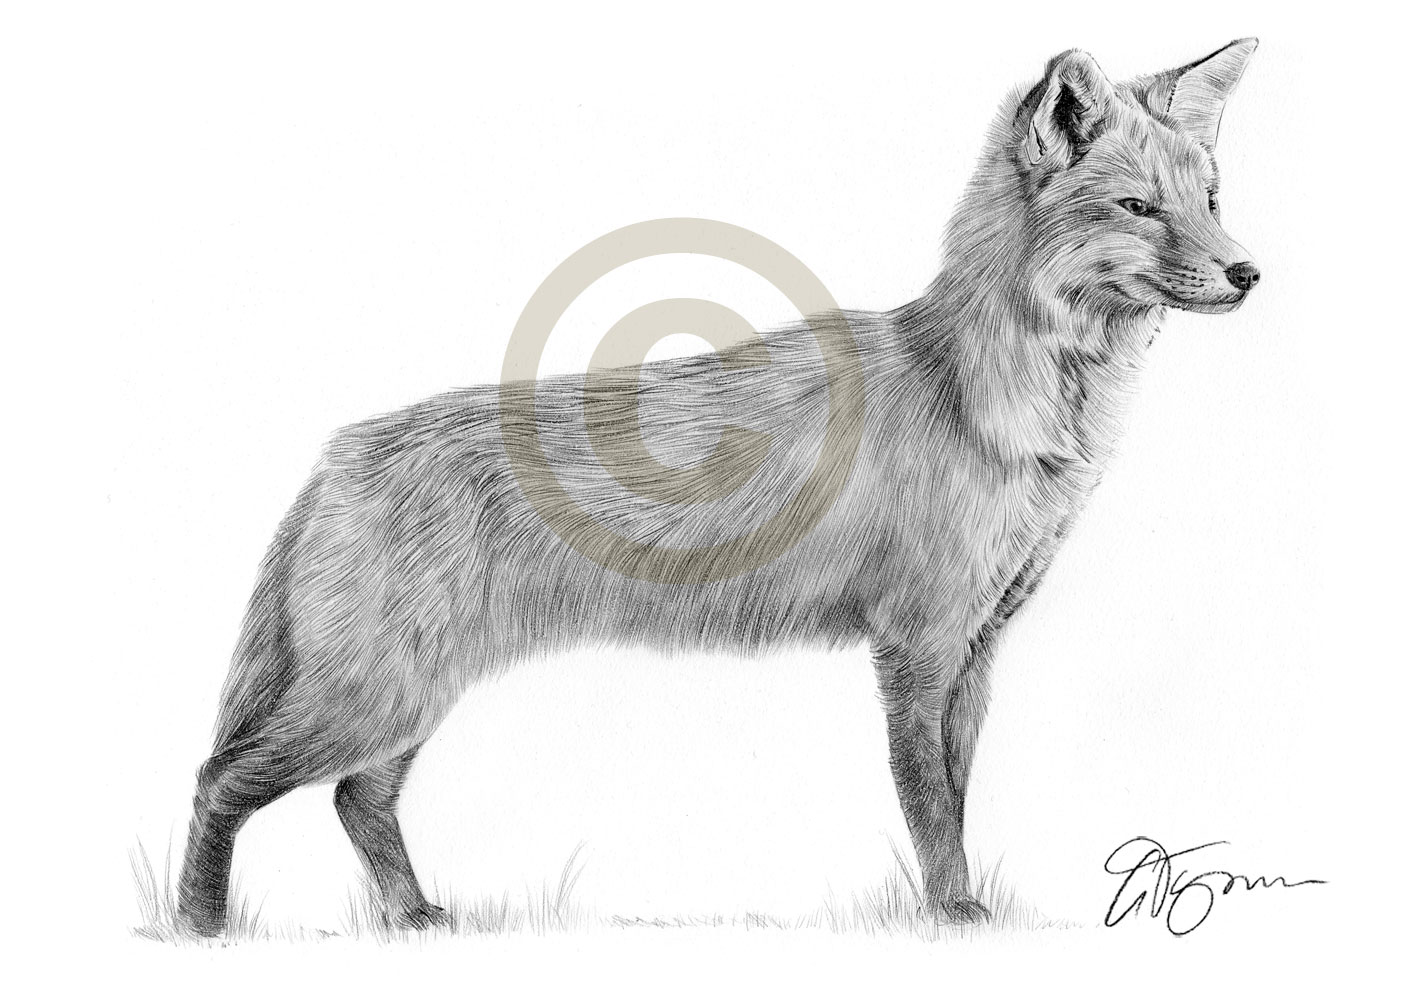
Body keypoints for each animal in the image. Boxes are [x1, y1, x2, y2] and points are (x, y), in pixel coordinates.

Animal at [177, 39, 1261, 935]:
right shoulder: (914, 646)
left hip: (406, 699)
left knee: (355, 800)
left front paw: (958, 909)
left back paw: (410, 918)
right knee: (217, 780)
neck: (993, 403)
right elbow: (929, 808)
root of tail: (337, 452)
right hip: (372, 696)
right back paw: (198, 928)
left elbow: (956, 796)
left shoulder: (978, 648)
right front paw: (953, 916)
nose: (1249, 272)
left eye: (1210, 199)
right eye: (1138, 208)